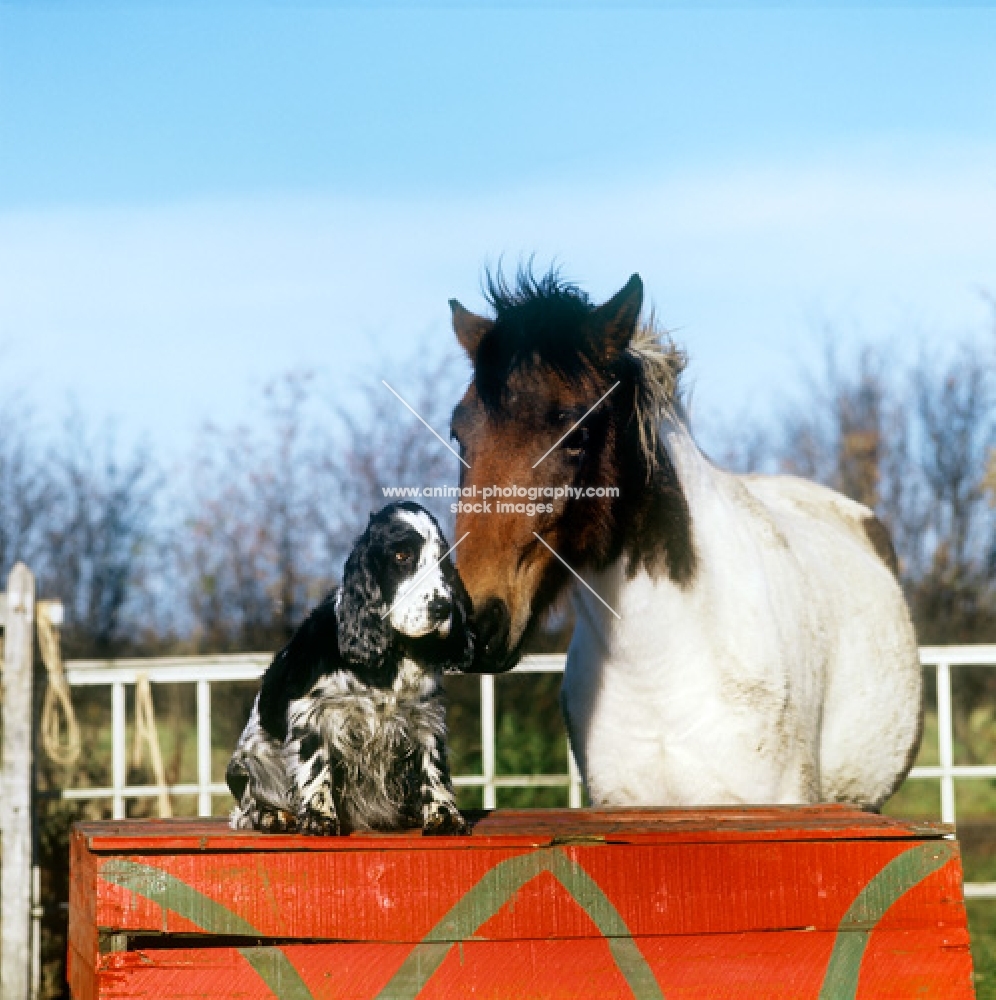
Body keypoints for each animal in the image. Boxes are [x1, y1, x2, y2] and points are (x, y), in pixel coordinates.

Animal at [226, 500, 474, 836]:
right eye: (401, 556)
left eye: (443, 560)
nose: (442, 608)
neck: (391, 656)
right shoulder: (312, 712)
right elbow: (316, 766)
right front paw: (319, 817)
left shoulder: (426, 714)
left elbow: (433, 764)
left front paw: (444, 815)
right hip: (249, 760)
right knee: (247, 808)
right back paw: (273, 816)